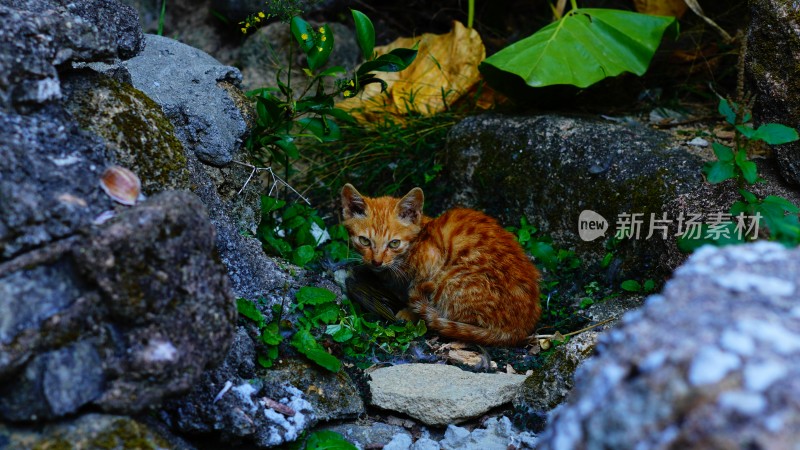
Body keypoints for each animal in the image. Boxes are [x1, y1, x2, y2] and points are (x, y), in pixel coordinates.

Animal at [340, 185, 540, 346]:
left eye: (394, 243)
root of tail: (521, 328)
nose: (376, 261)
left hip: (449, 279)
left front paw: (409, 312)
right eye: (364, 241)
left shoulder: (432, 262)